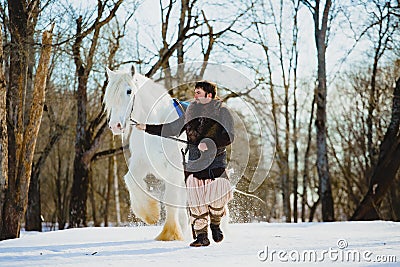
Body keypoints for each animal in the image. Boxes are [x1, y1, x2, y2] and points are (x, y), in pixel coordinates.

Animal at [103, 66, 188, 241]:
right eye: (109, 95)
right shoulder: (141, 162)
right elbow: (130, 180)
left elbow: (170, 198)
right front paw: (150, 214)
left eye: (129, 91)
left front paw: (170, 233)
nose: (115, 126)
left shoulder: (174, 170)